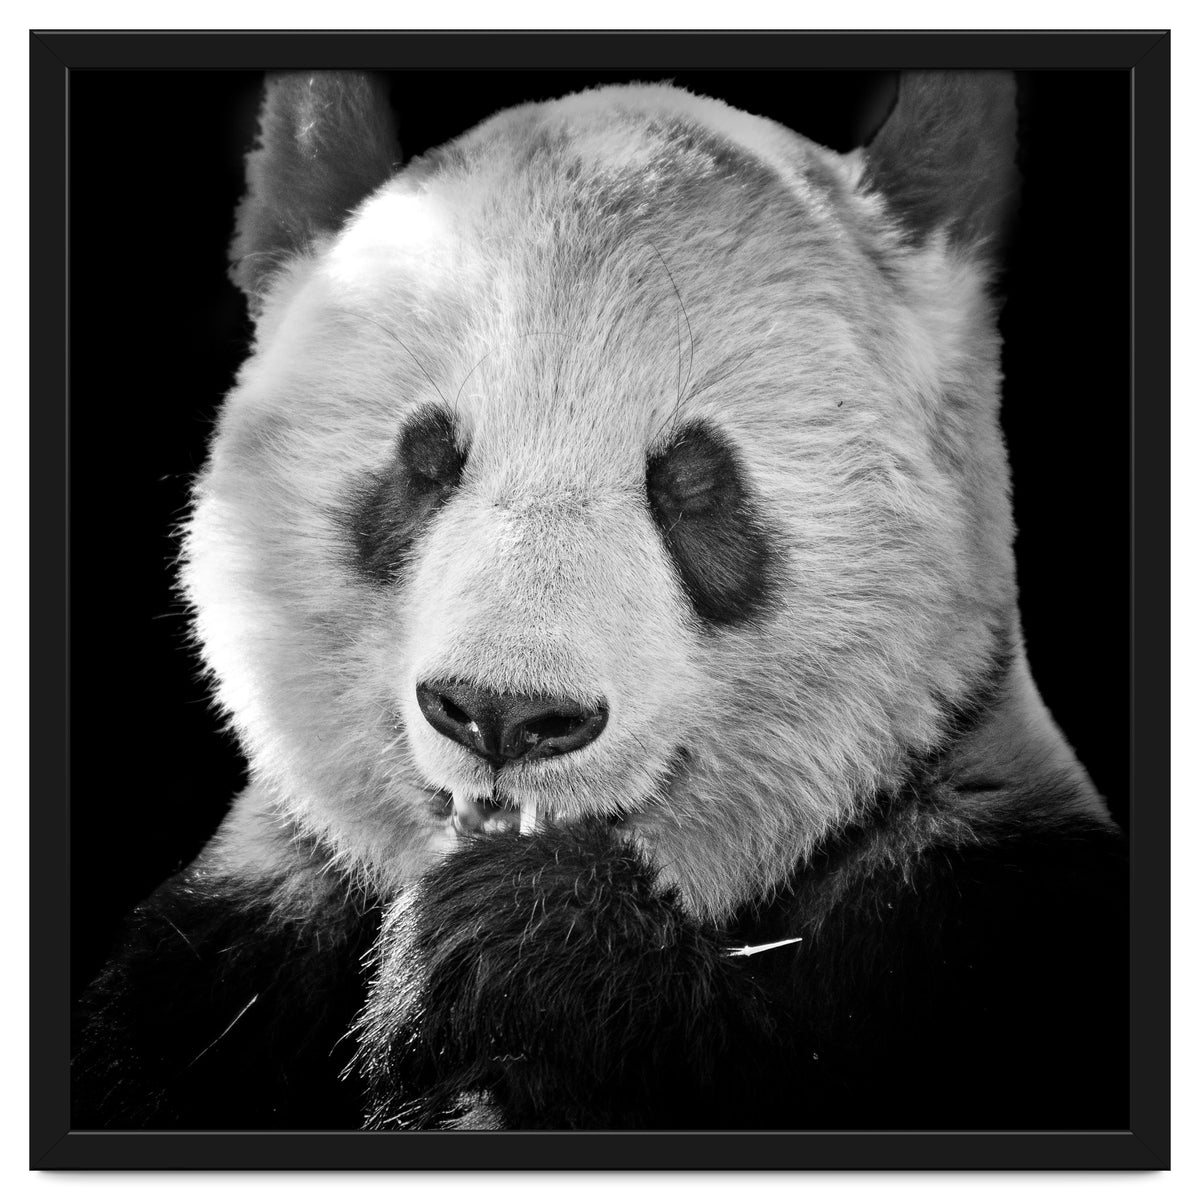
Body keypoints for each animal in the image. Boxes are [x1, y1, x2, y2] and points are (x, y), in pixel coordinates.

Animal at [72, 70, 1128, 1132]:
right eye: (426, 461)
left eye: (693, 484)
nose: (504, 714)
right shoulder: (229, 952)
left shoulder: (976, 911)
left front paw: (524, 944)